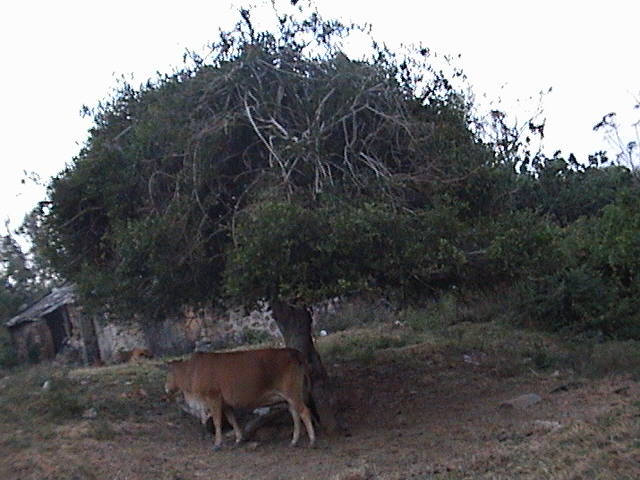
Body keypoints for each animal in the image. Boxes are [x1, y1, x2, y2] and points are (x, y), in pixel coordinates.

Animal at [165, 348, 316, 450]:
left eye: (168, 373)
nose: (165, 387)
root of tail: (294, 352)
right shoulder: (225, 404)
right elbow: (232, 420)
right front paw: (238, 439)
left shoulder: (213, 397)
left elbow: (217, 422)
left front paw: (217, 444)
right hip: (289, 396)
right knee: (295, 414)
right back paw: (294, 441)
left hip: (292, 392)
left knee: (304, 412)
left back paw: (312, 441)